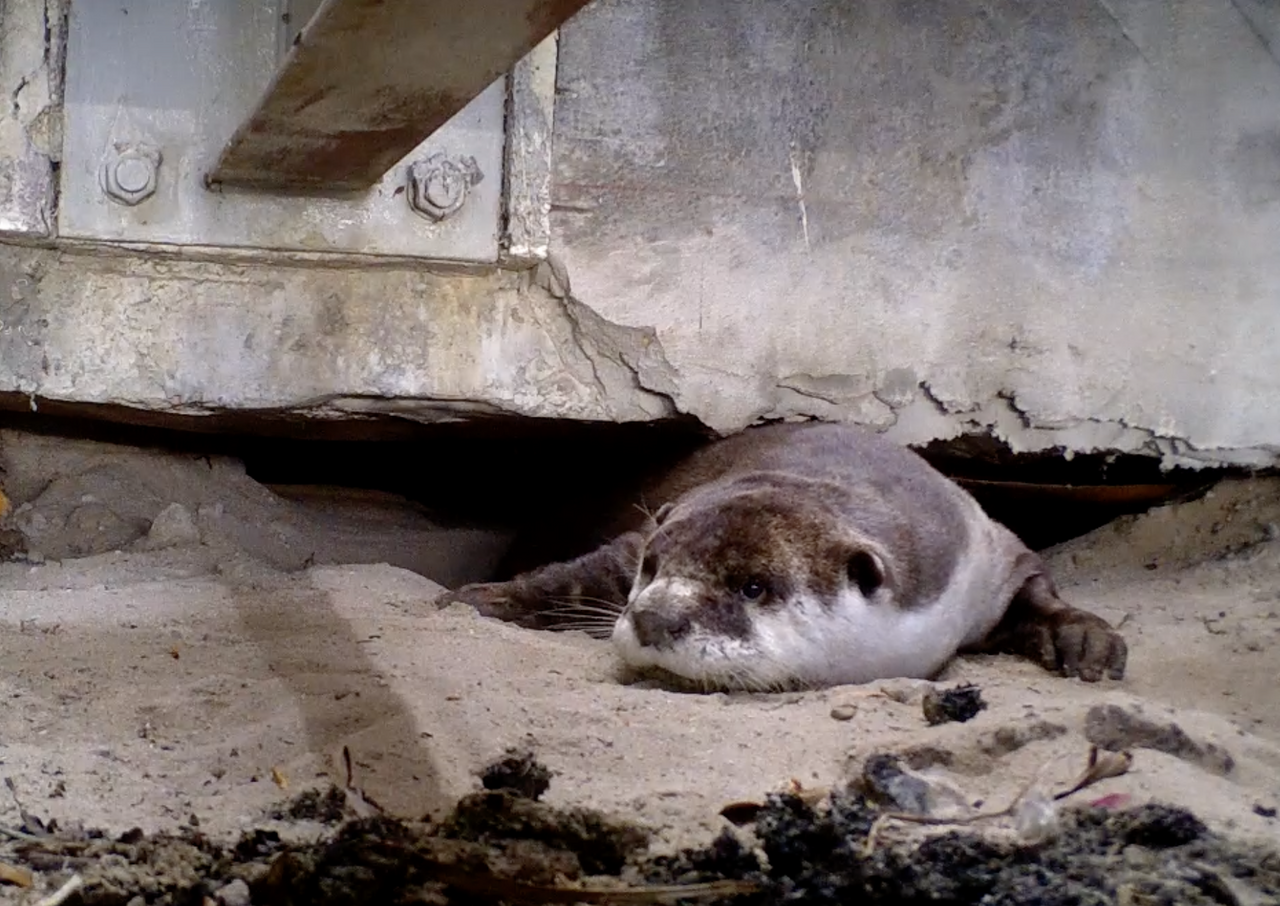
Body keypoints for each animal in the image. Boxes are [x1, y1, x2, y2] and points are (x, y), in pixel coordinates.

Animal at [447, 422, 1127, 691]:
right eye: (654, 569)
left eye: (753, 587)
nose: (654, 617)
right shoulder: (640, 536)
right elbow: (582, 575)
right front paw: (489, 598)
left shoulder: (987, 557)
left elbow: (1036, 590)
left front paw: (1083, 639)